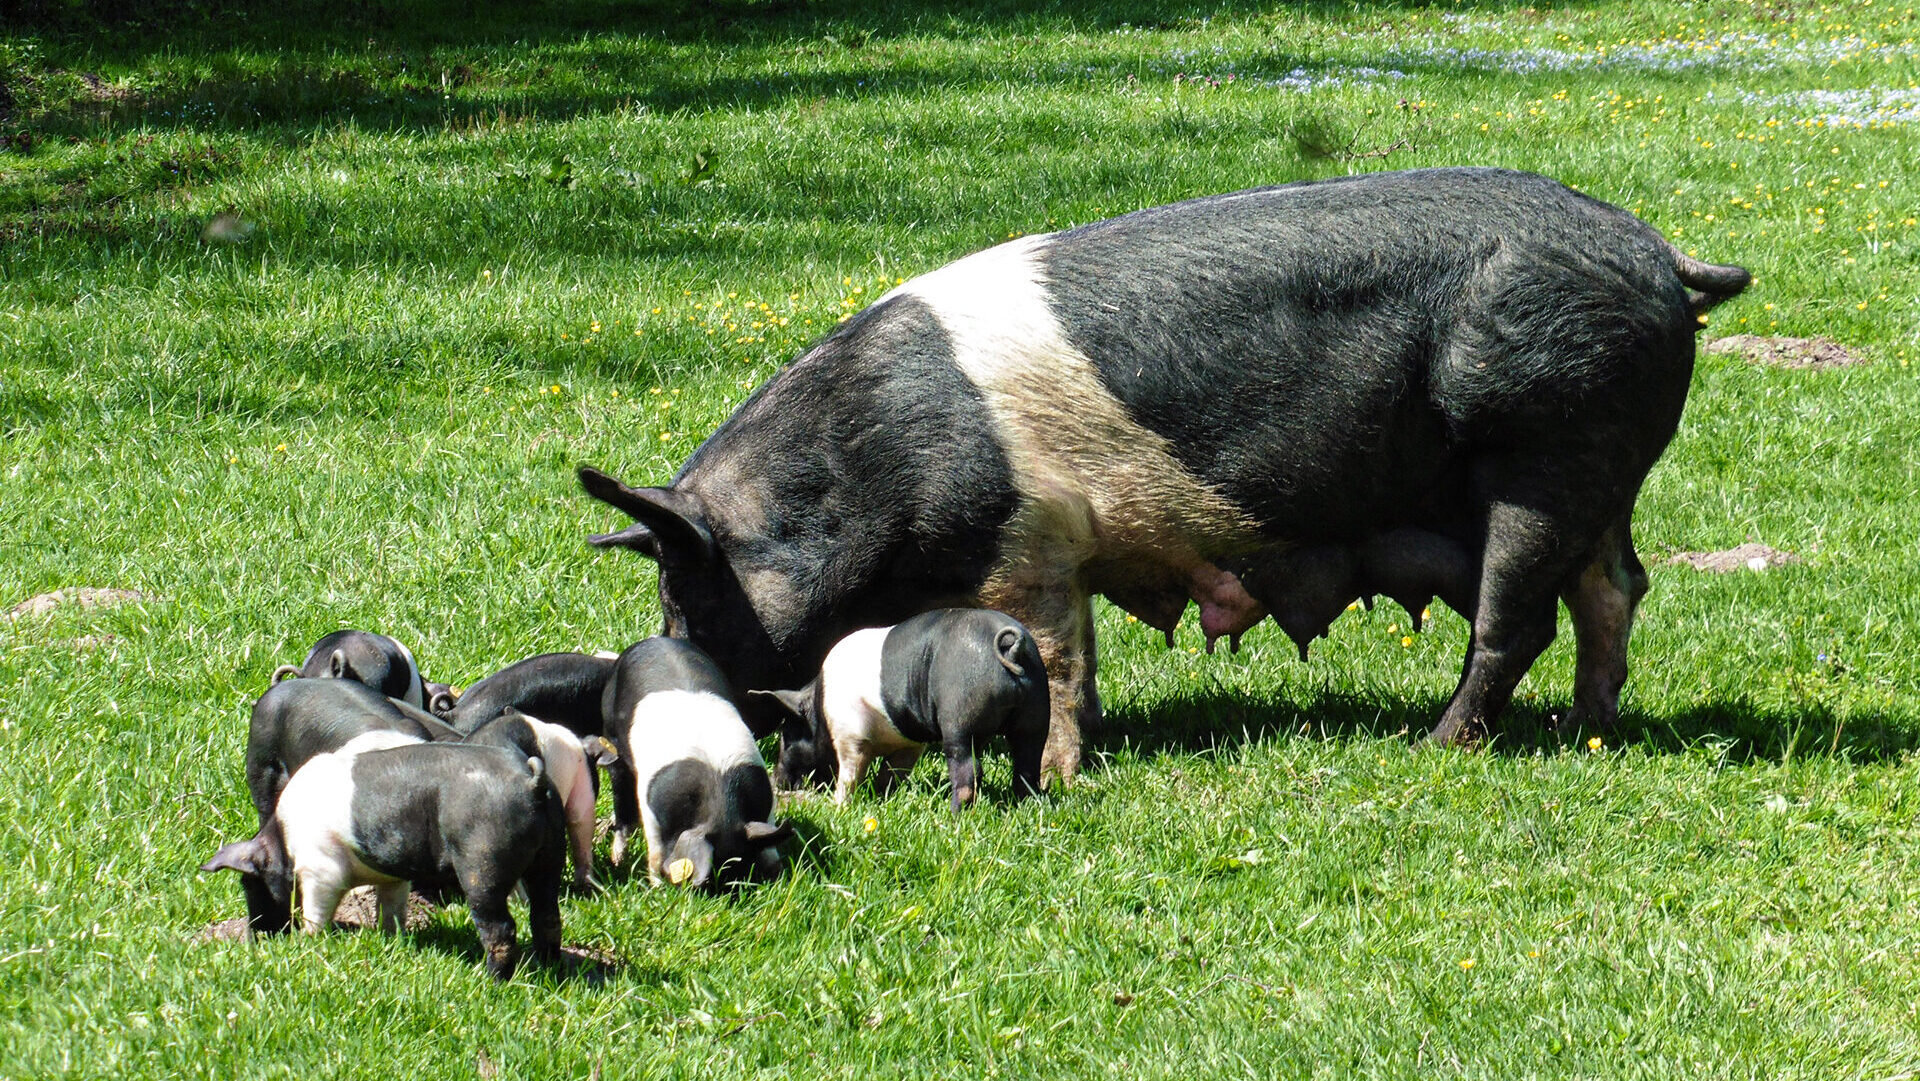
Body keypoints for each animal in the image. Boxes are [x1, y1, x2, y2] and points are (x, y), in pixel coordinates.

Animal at [576, 167, 1751, 779]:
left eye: (683, 595)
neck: (862, 469)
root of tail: (1661, 255)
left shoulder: (1030, 541)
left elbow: (1057, 656)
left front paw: (1058, 772)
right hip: (1598, 470)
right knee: (1614, 589)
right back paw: (1591, 728)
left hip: (1544, 450)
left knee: (1522, 615)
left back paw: (1440, 744)